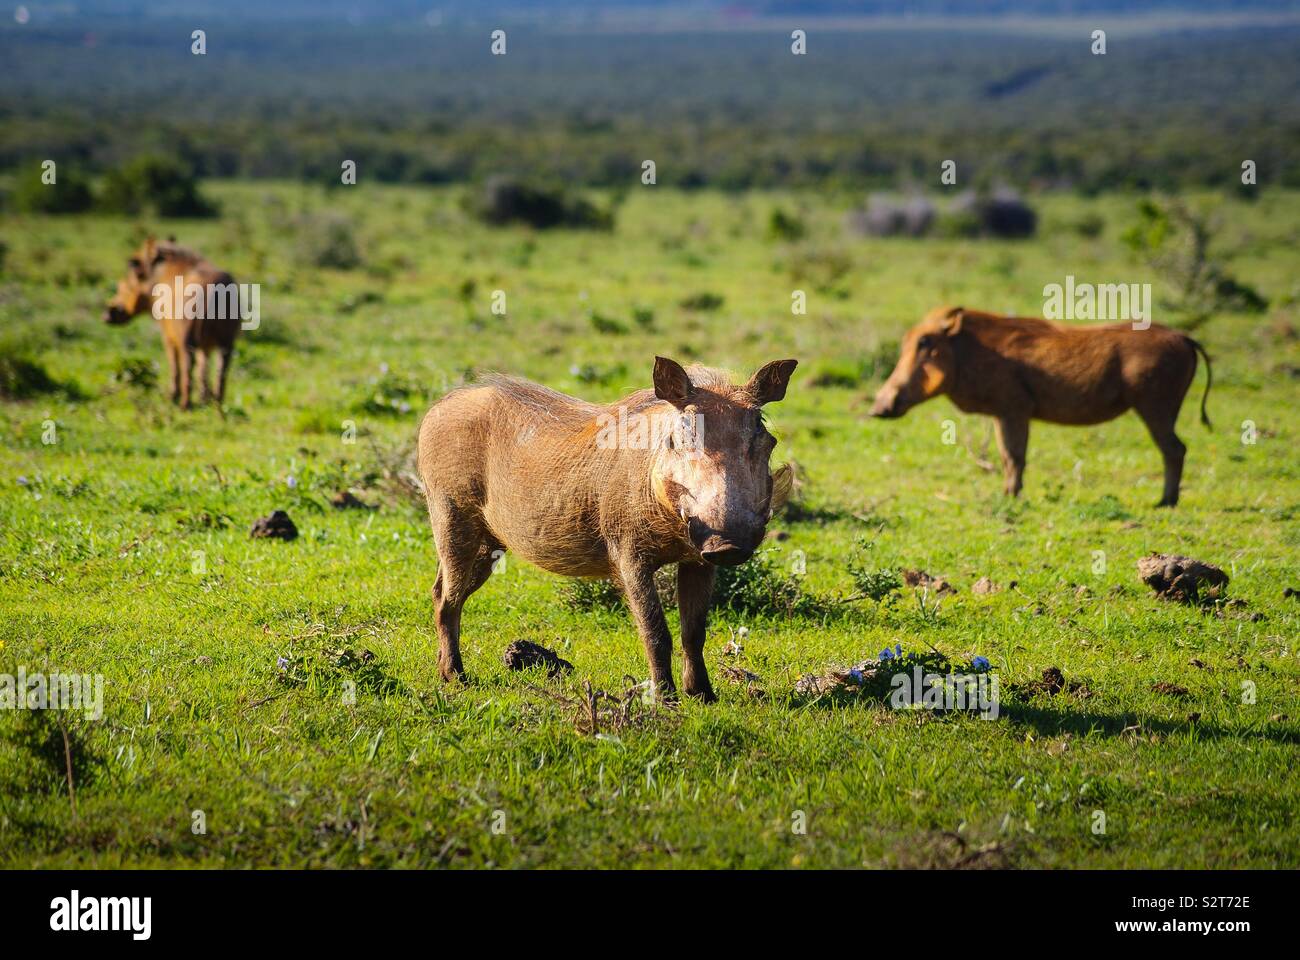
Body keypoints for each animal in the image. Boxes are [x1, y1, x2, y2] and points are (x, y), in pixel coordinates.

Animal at [104, 237, 240, 409]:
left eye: (133, 265)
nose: (105, 315)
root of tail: (215, 290)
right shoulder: (207, 345)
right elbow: (203, 368)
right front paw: (204, 401)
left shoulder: (168, 335)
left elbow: (175, 365)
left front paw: (172, 398)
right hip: (227, 342)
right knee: (221, 371)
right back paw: (217, 406)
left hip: (187, 340)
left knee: (187, 368)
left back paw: (184, 405)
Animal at [416, 356, 798, 701]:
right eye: (678, 439)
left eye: (764, 437)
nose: (729, 544)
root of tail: (440, 406)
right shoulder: (630, 556)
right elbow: (655, 631)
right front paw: (667, 699)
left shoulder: (698, 561)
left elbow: (694, 632)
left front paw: (703, 695)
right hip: (451, 520)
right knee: (447, 599)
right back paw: (456, 676)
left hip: (488, 546)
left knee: (441, 593)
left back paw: (444, 671)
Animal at [869, 306, 1212, 506]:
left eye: (924, 342)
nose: (877, 409)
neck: (967, 351)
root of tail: (1184, 337)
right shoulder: (1004, 413)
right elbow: (1008, 457)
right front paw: (1008, 494)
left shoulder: (1013, 410)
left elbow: (1014, 457)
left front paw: (1011, 497)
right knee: (1175, 449)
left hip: (1155, 406)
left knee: (1174, 449)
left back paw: (1165, 503)